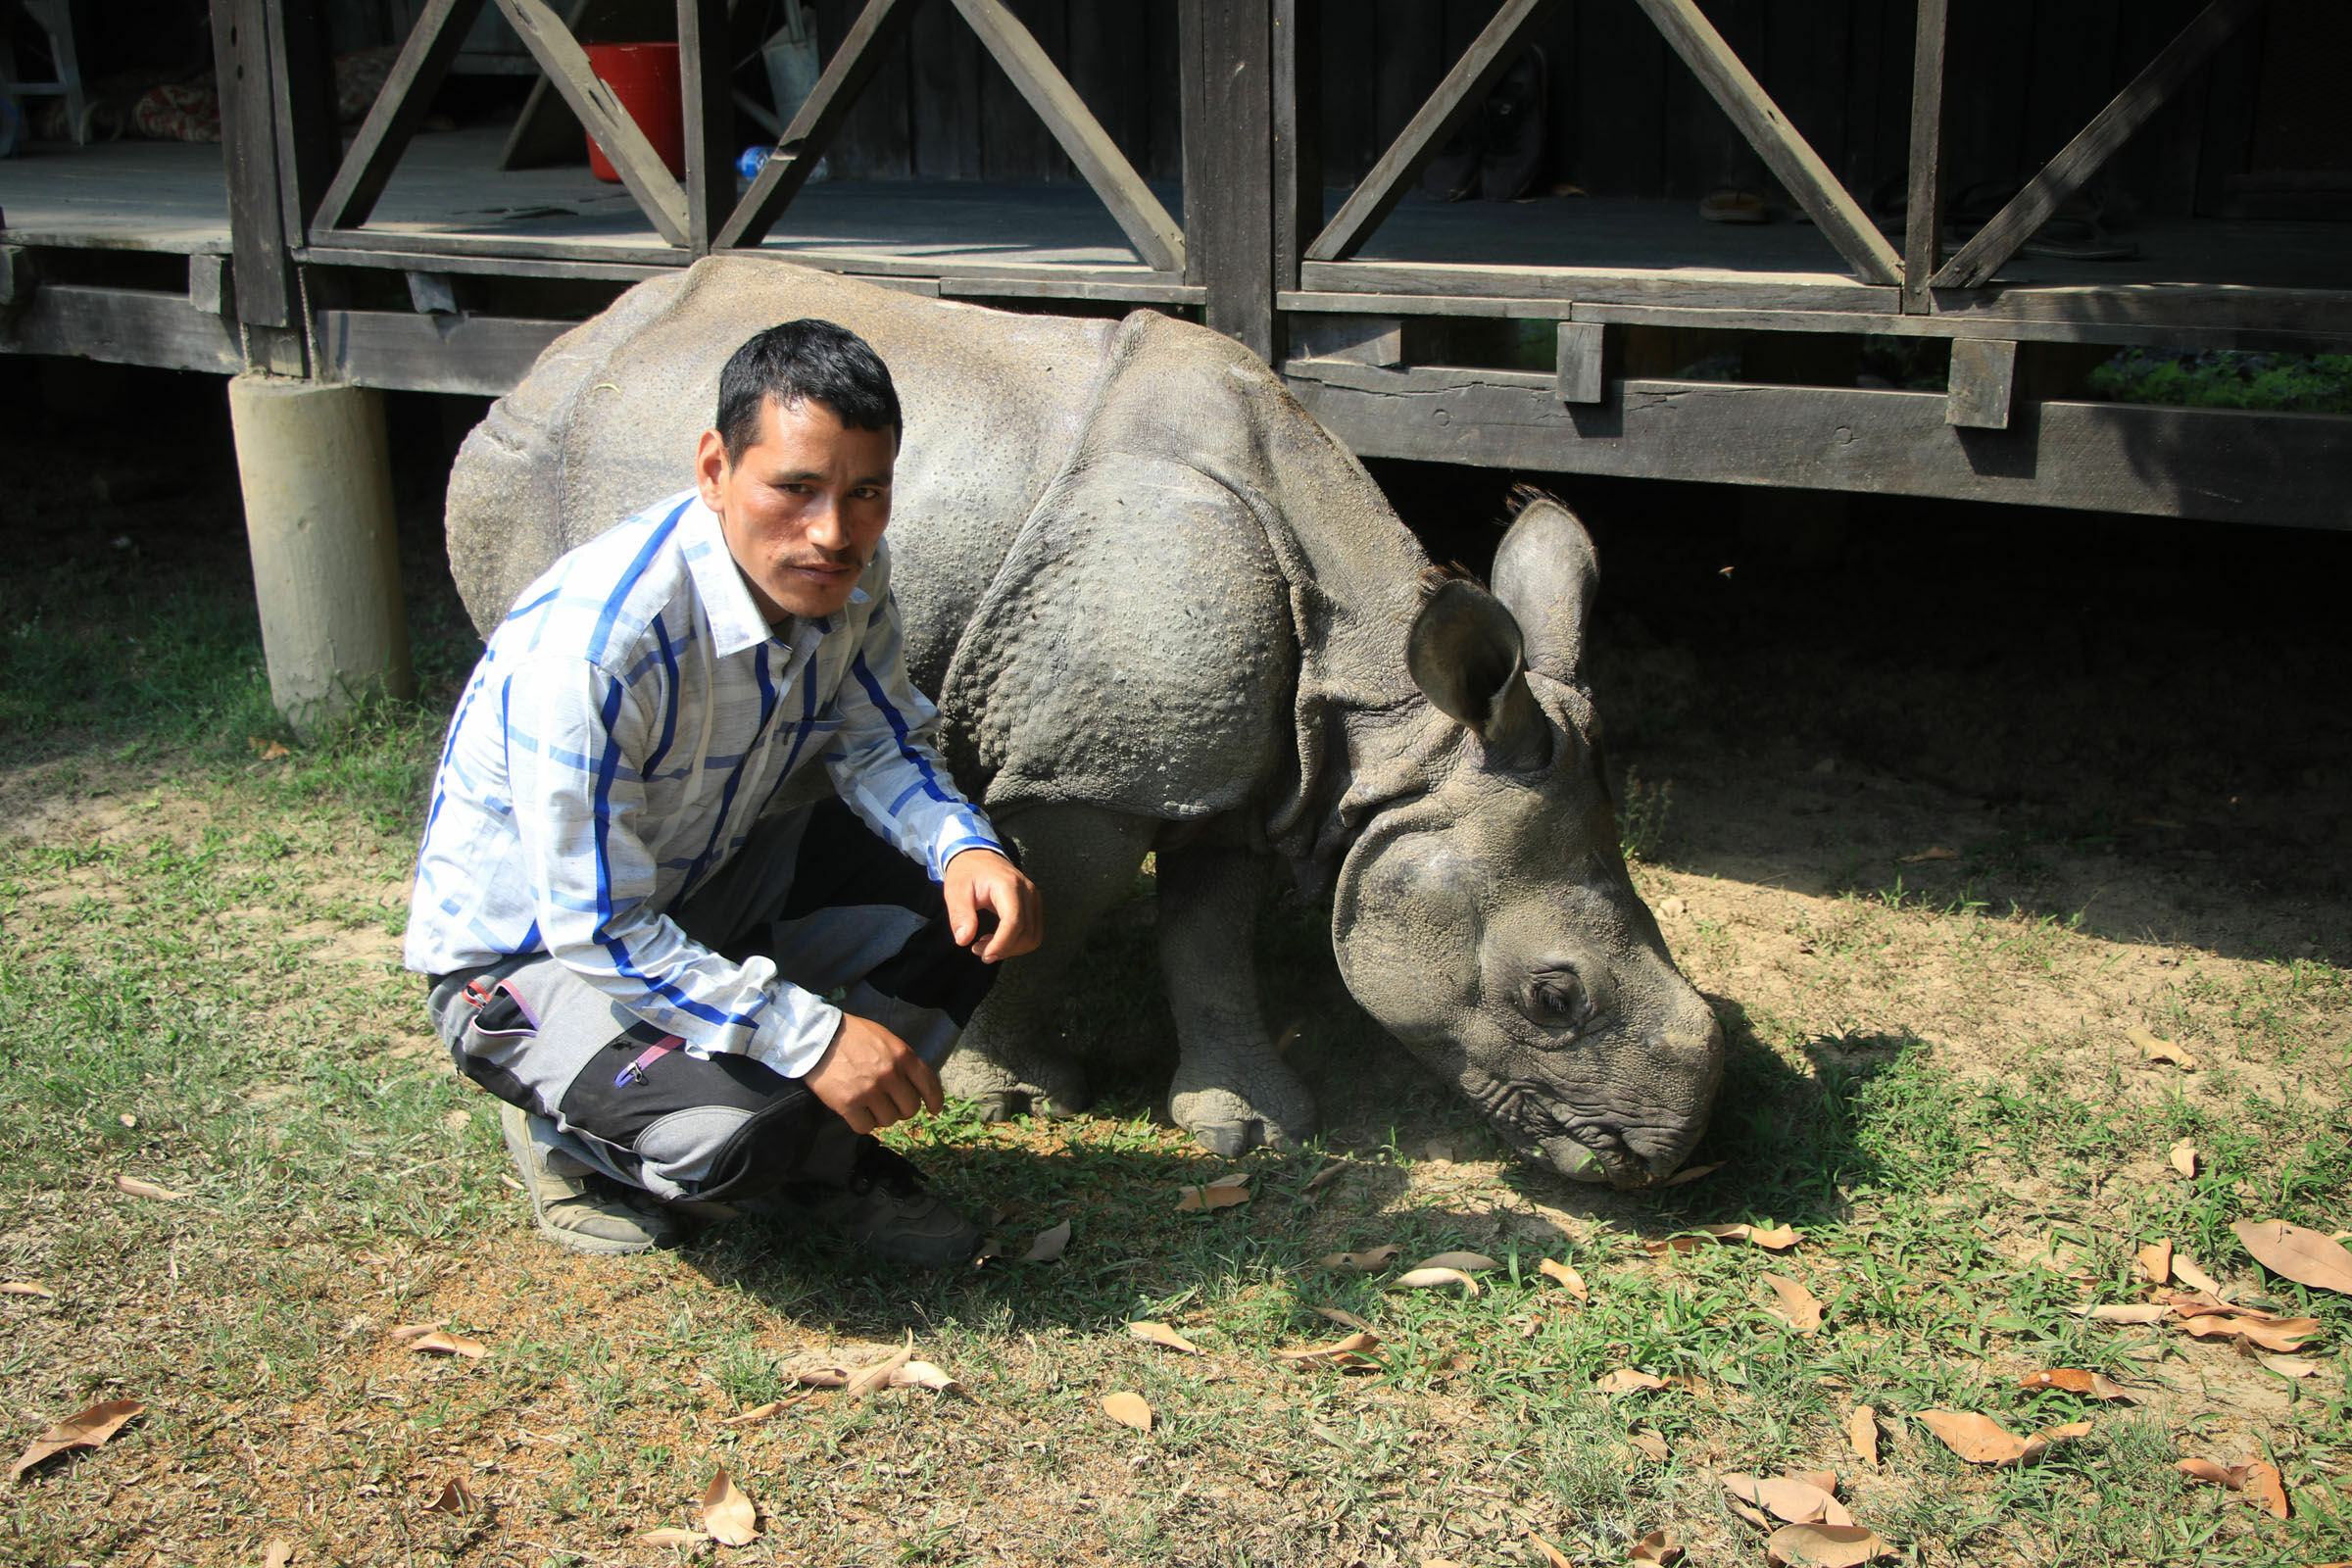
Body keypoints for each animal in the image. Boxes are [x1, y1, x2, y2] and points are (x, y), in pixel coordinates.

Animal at [443, 257, 1723, 1188]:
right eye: (1555, 998)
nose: (1669, 1159)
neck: (1391, 719)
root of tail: (558, 350)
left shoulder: (1245, 761)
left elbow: (1208, 932)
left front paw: (1250, 1131)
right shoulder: (1089, 776)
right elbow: (1054, 913)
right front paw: (1013, 1095)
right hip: (520, 464)